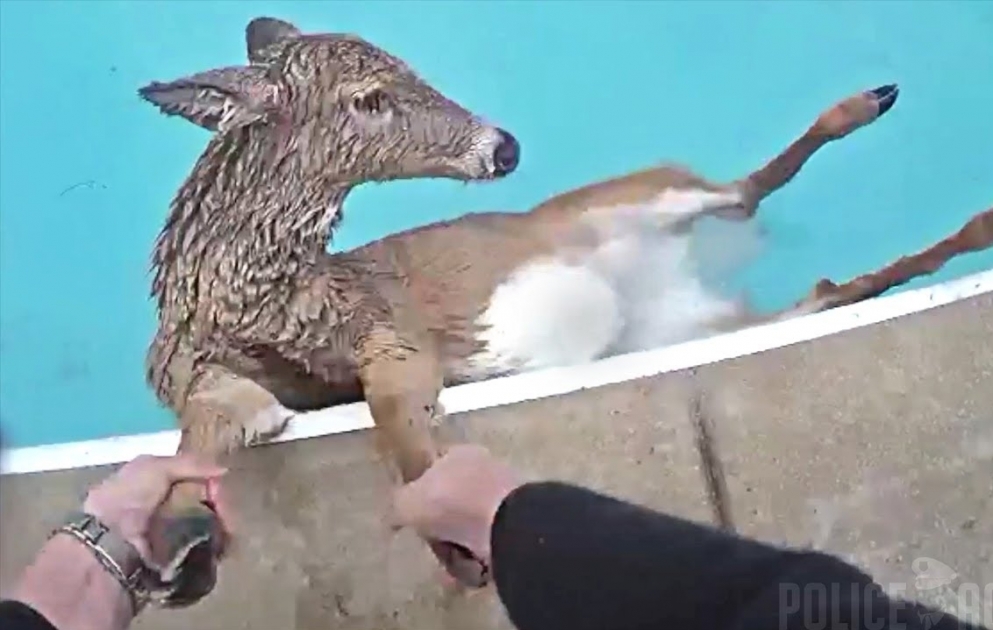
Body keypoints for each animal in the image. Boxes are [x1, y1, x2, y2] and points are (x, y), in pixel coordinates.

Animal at [137, 14, 993, 607]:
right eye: (368, 100)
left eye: (401, 65)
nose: (504, 146)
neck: (264, 302)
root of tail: (685, 285)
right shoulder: (219, 376)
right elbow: (208, 427)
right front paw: (177, 543)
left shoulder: (390, 325)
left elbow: (397, 418)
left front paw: (453, 545)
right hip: (706, 311)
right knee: (819, 282)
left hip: (641, 193)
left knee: (747, 190)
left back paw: (875, 107)